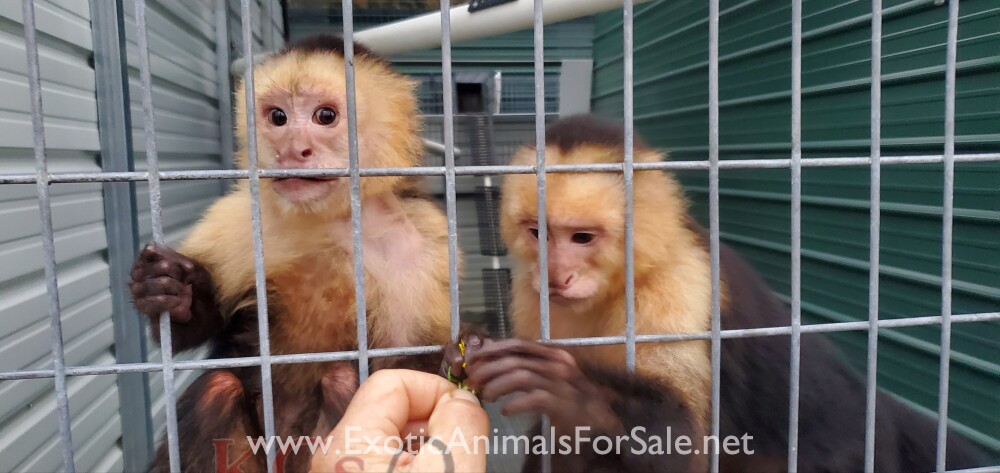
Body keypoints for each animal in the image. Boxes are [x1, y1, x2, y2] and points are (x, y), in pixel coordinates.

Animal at [130, 35, 458, 473]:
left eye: (325, 116)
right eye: (278, 117)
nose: (292, 149)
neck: (330, 219)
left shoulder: (421, 241)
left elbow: (408, 362)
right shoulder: (238, 215)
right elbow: (205, 321)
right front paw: (169, 287)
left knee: (340, 383)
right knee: (217, 388)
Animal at [443, 114, 992, 472]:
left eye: (582, 238)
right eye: (538, 233)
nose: (556, 276)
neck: (622, 282)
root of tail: (875, 407)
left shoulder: (683, 287)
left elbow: (683, 444)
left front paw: (574, 392)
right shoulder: (529, 296)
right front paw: (471, 345)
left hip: (847, 451)